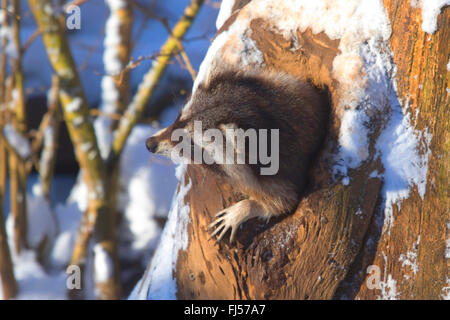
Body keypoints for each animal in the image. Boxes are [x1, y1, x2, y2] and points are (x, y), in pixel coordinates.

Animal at [146, 70, 328, 244]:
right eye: (178, 119)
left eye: (186, 140)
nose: (149, 144)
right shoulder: (295, 89)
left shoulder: (283, 172)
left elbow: (284, 202)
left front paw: (247, 207)